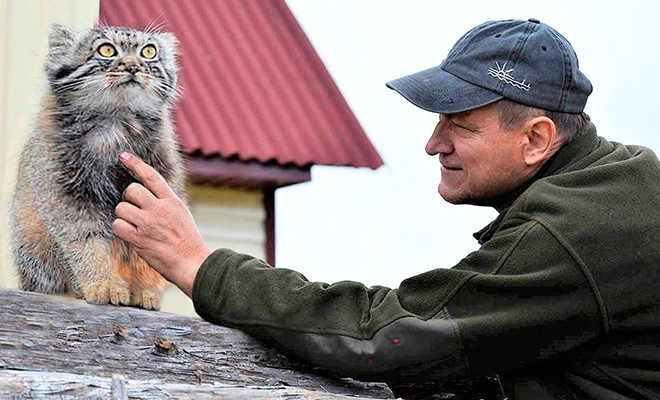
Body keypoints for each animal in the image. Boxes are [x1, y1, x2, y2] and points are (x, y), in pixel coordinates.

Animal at [9, 24, 187, 310]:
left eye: (149, 52)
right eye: (106, 50)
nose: (133, 66)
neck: (117, 124)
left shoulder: (156, 189)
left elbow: (143, 254)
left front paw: (145, 291)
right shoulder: (66, 200)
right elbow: (87, 245)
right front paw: (104, 284)